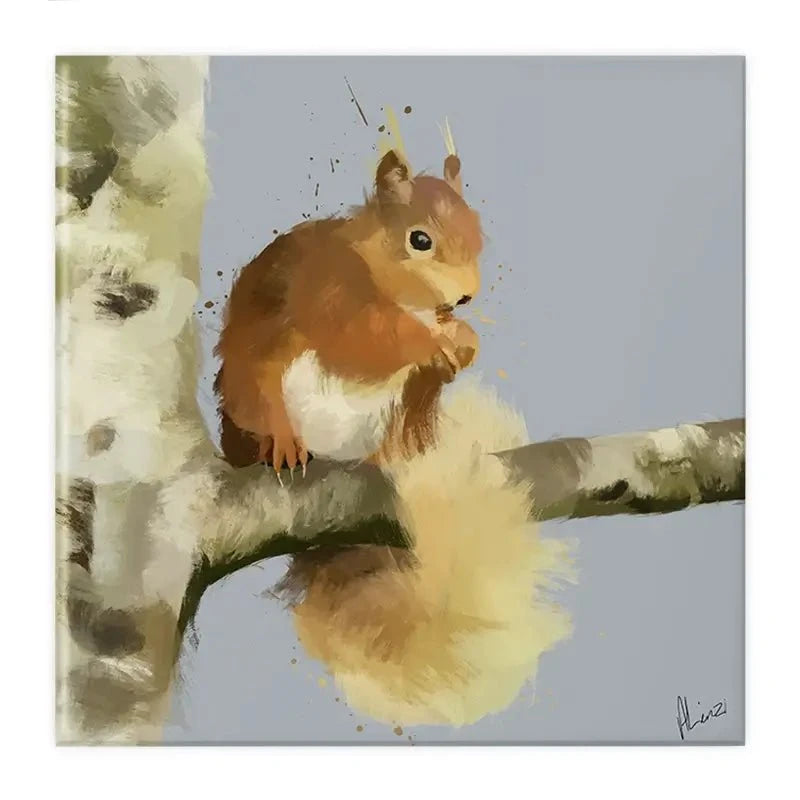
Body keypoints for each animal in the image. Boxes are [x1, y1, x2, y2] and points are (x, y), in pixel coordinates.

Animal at [214, 148, 481, 476]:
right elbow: (364, 341)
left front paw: (466, 340)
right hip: (254, 390)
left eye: (477, 229)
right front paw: (431, 344)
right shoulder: (331, 296)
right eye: (420, 240)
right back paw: (283, 445)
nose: (467, 295)